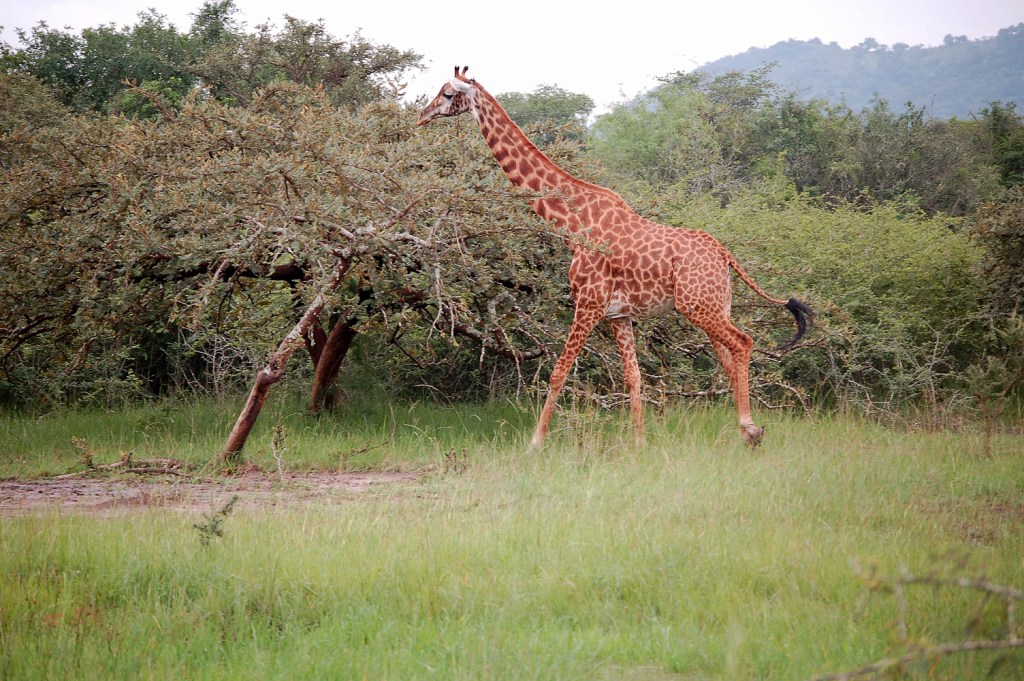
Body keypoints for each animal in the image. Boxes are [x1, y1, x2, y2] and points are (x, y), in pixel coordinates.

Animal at [419, 67, 811, 446]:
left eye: (448, 94)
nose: (421, 115)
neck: (573, 223)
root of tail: (726, 255)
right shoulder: (619, 315)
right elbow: (633, 376)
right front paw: (639, 444)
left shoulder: (588, 302)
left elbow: (559, 372)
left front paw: (534, 443)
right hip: (714, 305)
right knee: (729, 359)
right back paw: (745, 431)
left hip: (698, 306)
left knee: (744, 343)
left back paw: (751, 429)